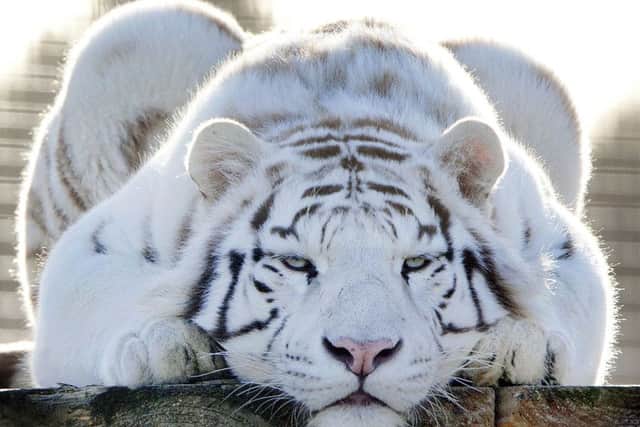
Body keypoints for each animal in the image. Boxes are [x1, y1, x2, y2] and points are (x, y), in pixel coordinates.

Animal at [15, 1, 617, 426]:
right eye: (296, 264)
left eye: (416, 264)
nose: (363, 353)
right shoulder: (93, 247)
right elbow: (104, 300)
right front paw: (158, 346)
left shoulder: (560, 244)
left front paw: (522, 346)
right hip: (141, 32)